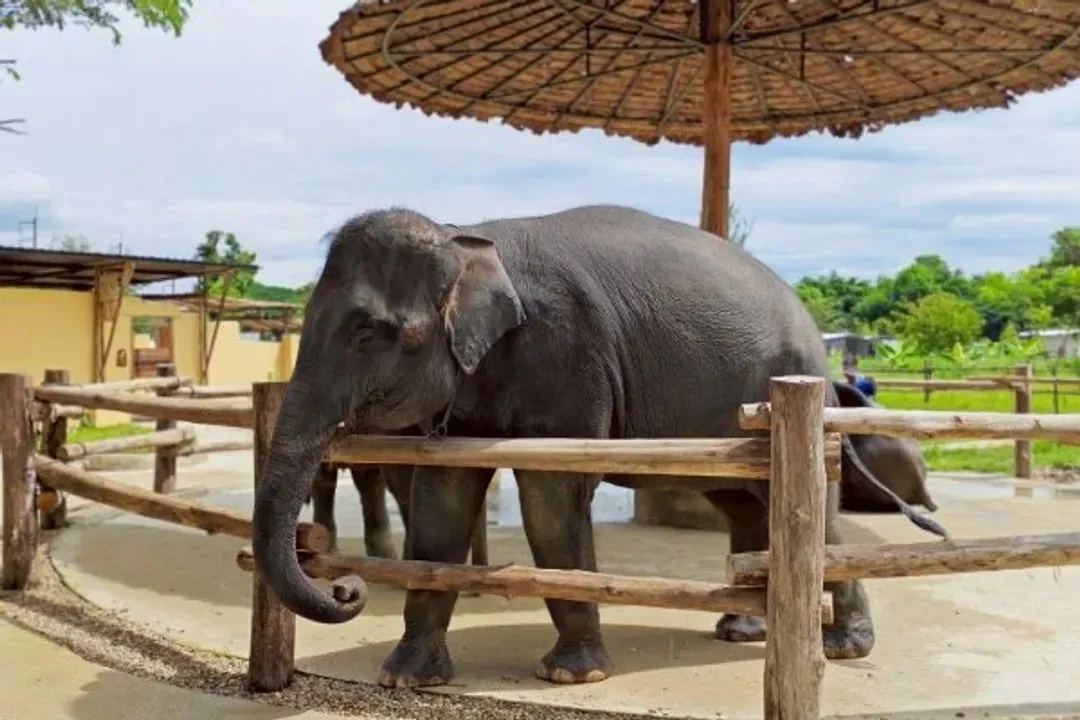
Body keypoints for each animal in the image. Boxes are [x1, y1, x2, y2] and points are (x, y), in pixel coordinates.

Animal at [251, 204, 948, 689]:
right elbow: (441, 502)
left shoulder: (566, 353)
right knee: (745, 501)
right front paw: (403, 678)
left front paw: (571, 674)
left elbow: (550, 500)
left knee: (813, 514)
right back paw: (742, 630)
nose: (346, 589)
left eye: (368, 332)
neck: (467, 234)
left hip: (797, 394)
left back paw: (842, 647)